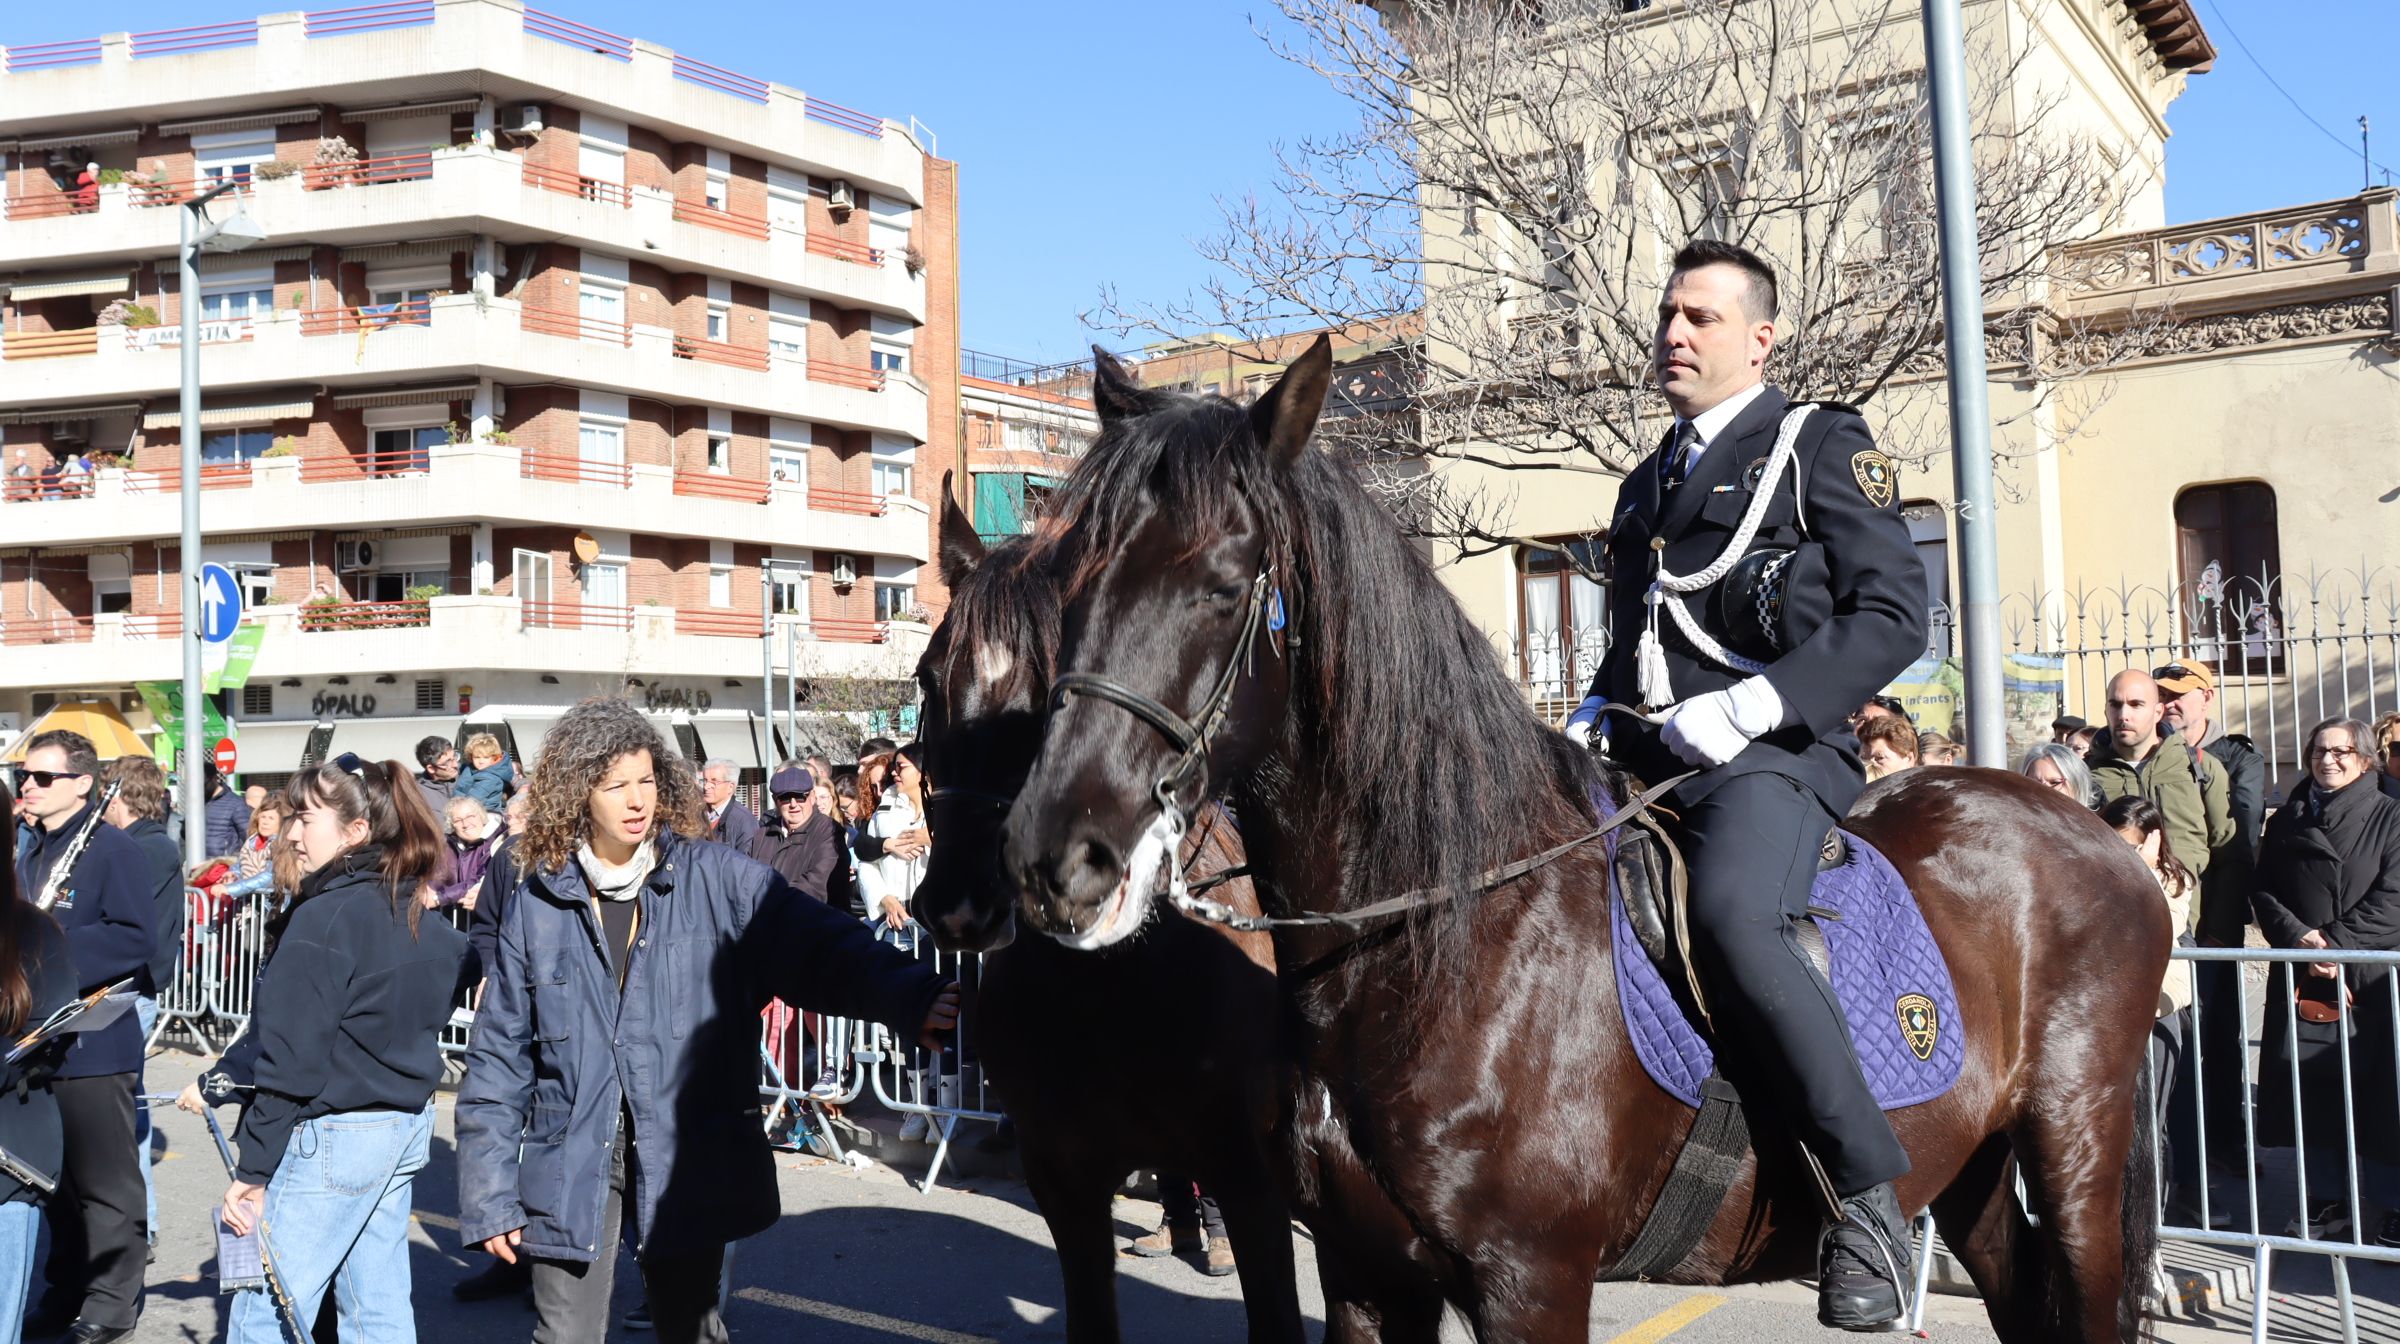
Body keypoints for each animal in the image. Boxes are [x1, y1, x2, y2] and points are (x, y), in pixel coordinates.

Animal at [907, 492, 1305, 1344]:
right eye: (928, 677)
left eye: (1055, 684)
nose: (957, 907)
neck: (1107, 988)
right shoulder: (1064, 1178)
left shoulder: (1251, 1178)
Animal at [993, 343, 2179, 1344]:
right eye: (1074, 580)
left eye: (1224, 585)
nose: (1059, 860)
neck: (1439, 942)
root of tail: (2096, 838)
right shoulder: (1365, 1275)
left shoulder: (1532, 1283)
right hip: (1971, 1168)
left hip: (2077, 1156)